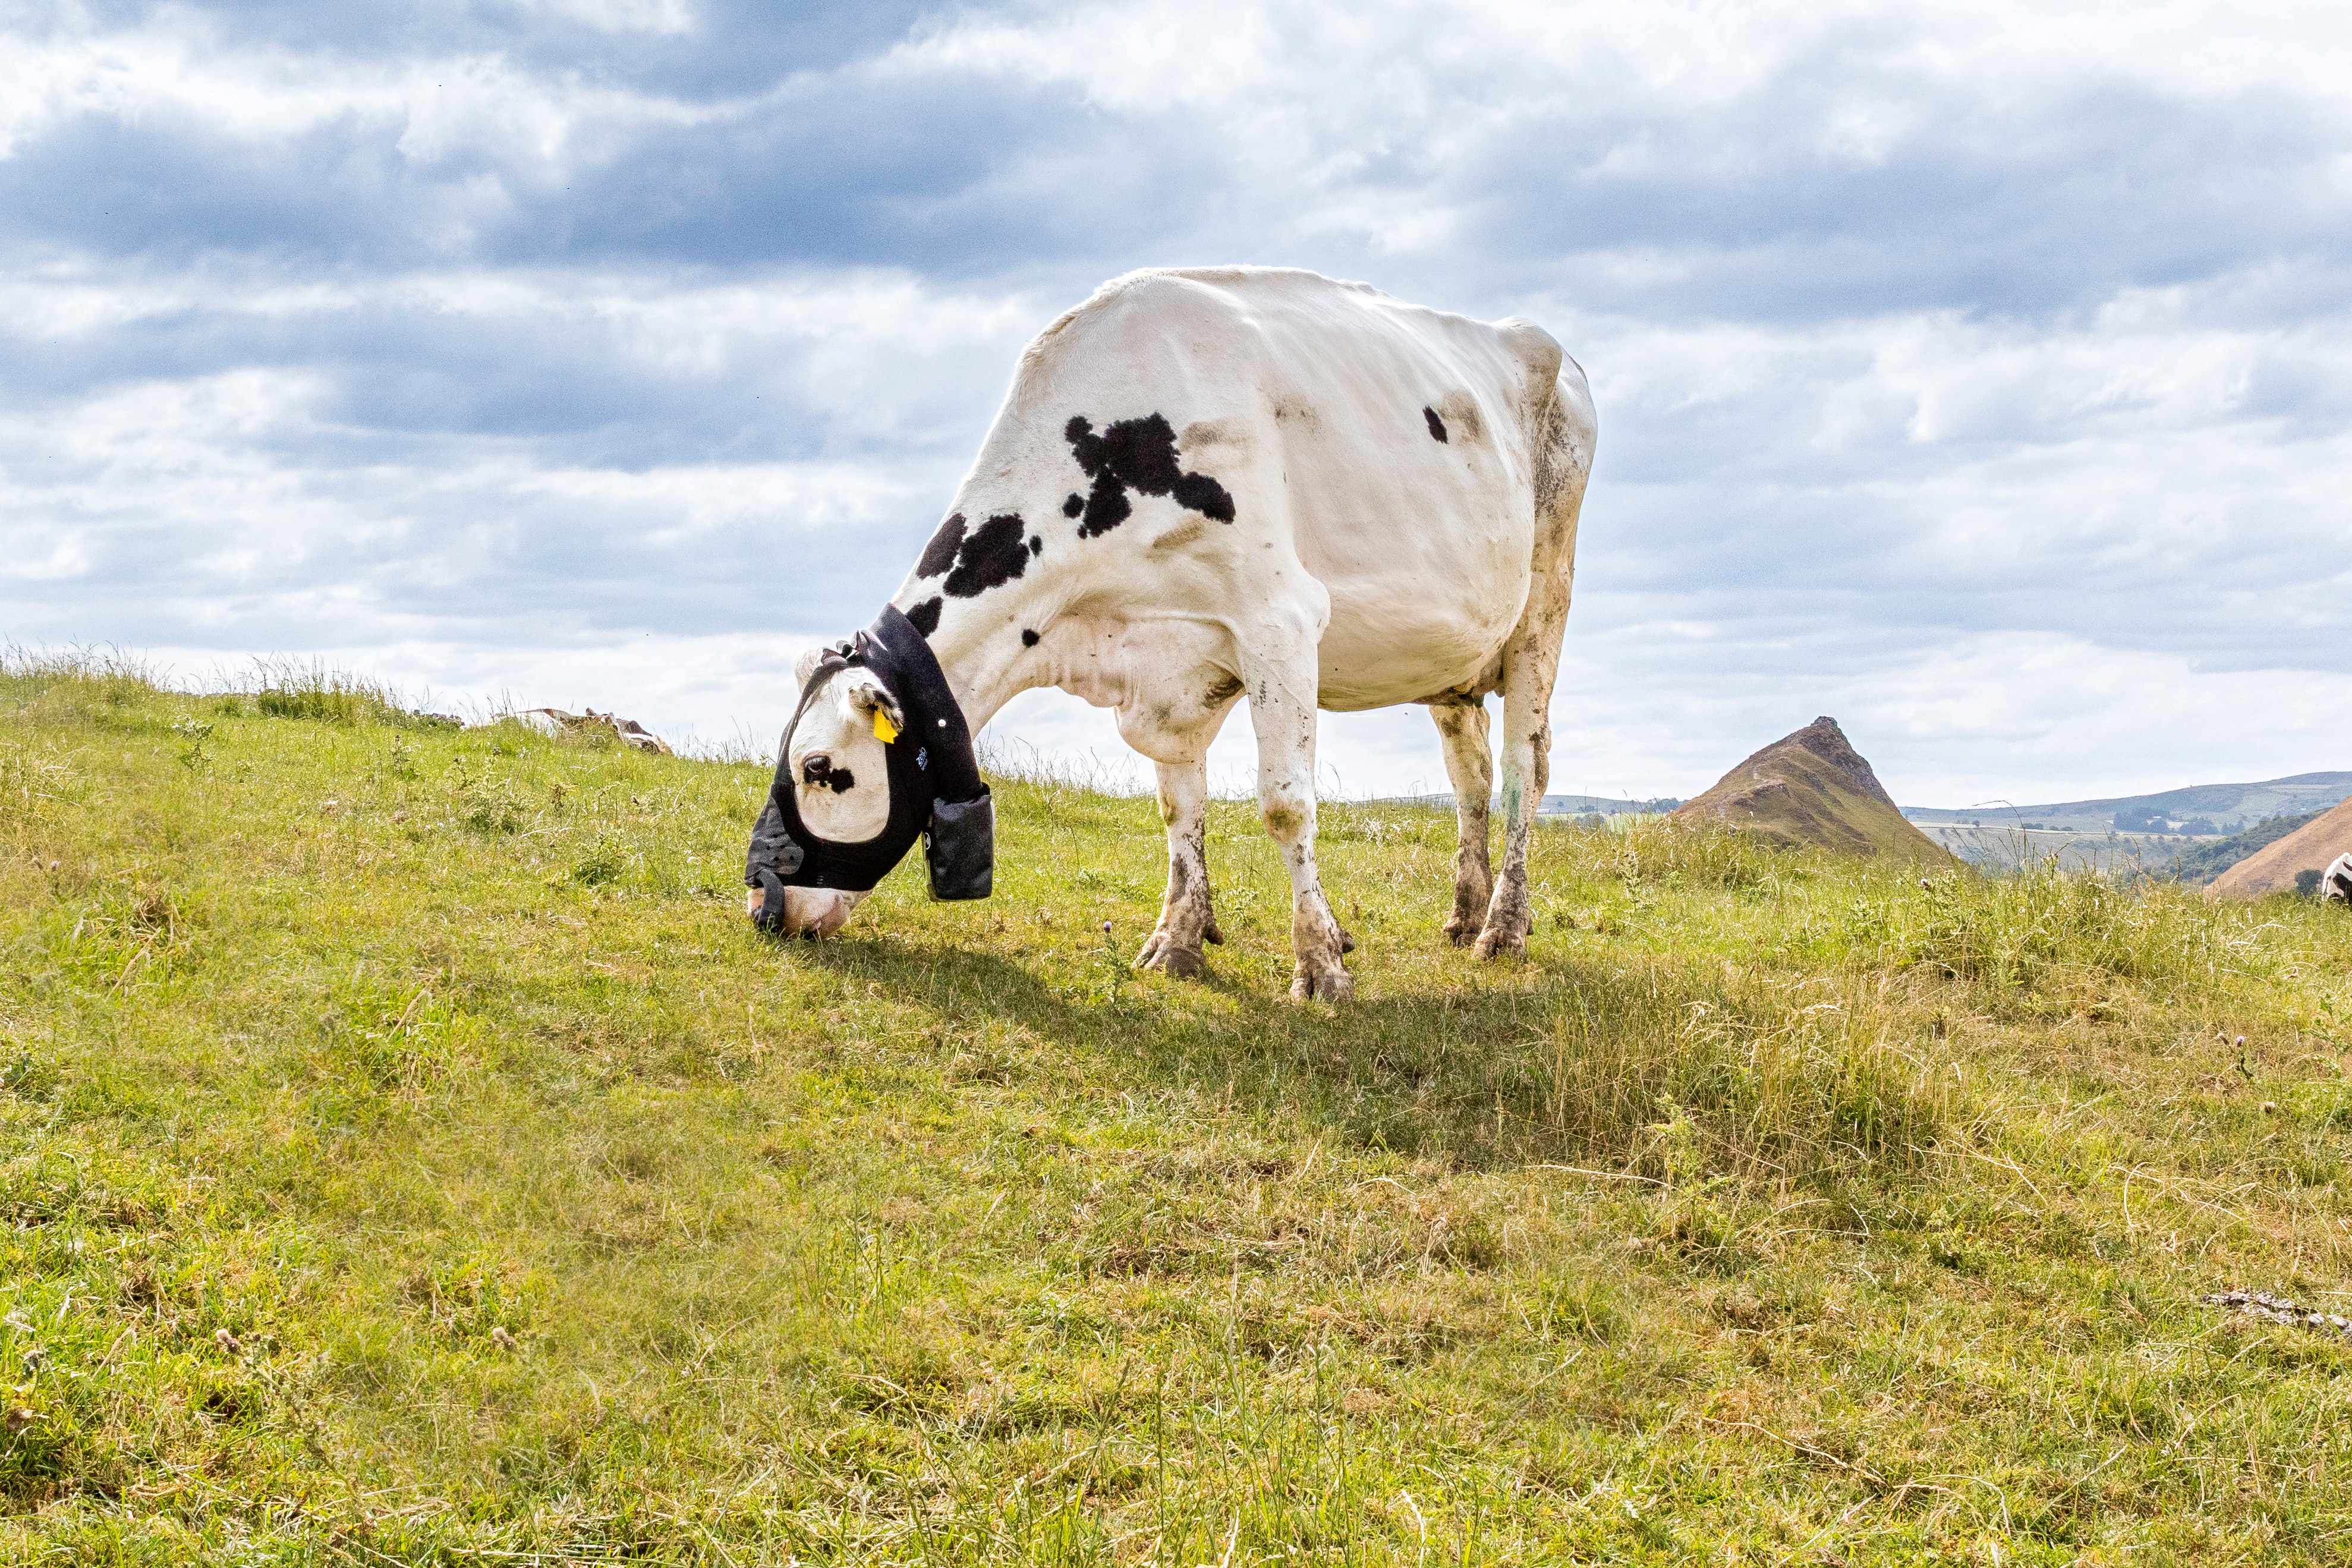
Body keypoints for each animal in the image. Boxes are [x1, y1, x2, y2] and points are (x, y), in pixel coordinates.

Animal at [747, 266, 1597, 1000]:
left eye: (819, 768)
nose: (761, 905)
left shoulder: (1280, 619)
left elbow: (1285, 805)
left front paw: (1321, 963)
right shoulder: (1165, 663)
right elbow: (1177, 807)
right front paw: (1178, 939)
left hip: (1544, 606)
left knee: (1523, 770)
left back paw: (1503, 928)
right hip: (1452, 651)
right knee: (1469, 775)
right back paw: (1464, 911)